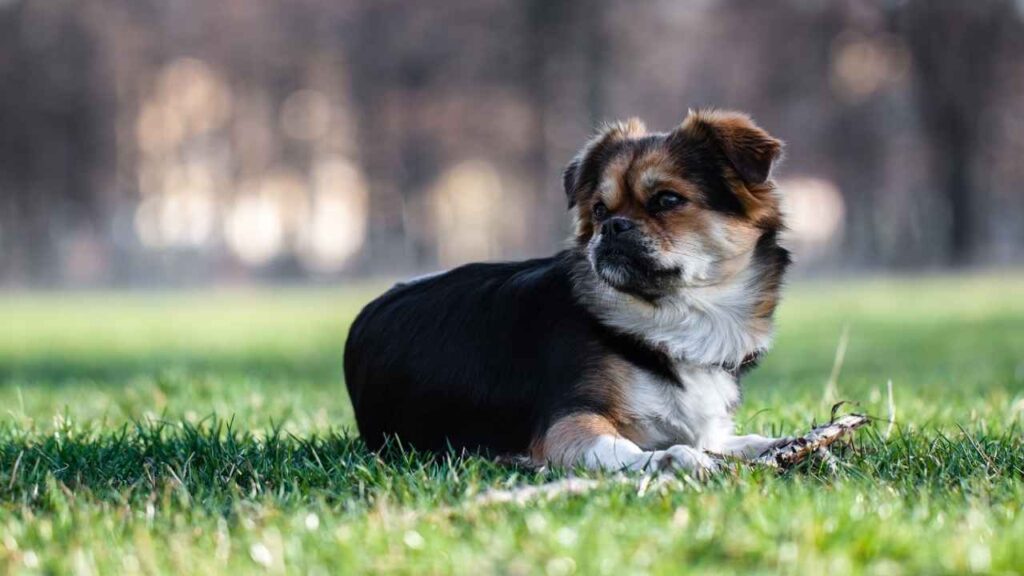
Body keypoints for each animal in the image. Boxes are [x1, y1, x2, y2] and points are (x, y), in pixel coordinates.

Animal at [344, 109, 790, 473]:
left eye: (666, 200)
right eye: (599, 210)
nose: (612, 226)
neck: (671, 321)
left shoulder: (711, 431)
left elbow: (744, 442)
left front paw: (785, 445)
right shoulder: (568, 422)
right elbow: (622, 448)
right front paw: (668, 458)